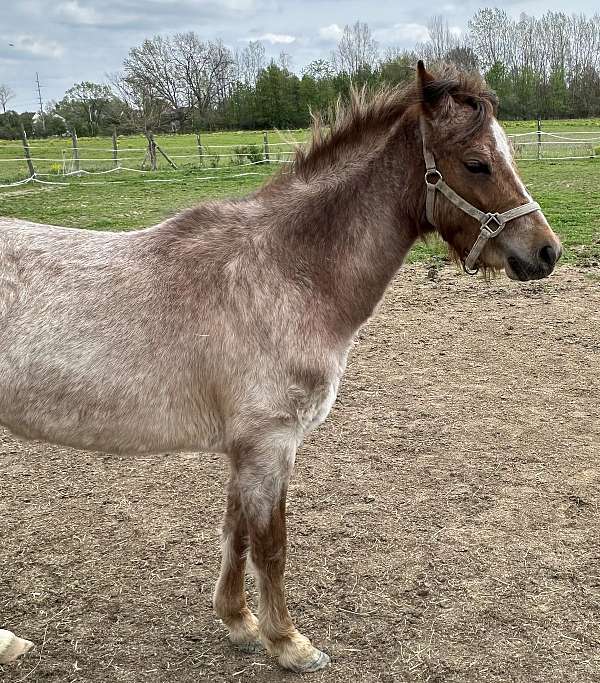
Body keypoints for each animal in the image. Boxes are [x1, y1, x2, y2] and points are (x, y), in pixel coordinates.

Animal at [0, 62, 561, 673]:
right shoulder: (271, 443)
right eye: (477, 162)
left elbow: (236, 533)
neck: (284, 272)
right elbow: (271, 545)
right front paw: (290, 643)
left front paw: (240, 623)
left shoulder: (247, 449)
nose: (547, 251)